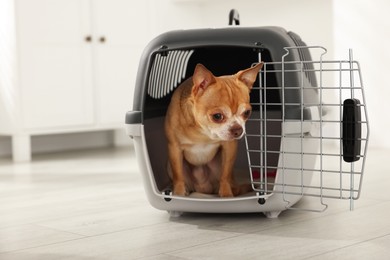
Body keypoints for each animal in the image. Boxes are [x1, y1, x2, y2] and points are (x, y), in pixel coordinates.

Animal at [164, 63, 262, 197]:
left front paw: (226, 195)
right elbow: (178, 175)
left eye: (247, 113)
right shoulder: (174, 148)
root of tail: (203, 189)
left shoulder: (229, 148)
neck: (202, 132)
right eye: (217, 116)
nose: (238, 129)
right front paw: (179, 194)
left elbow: (225, 176)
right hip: (170, 166)